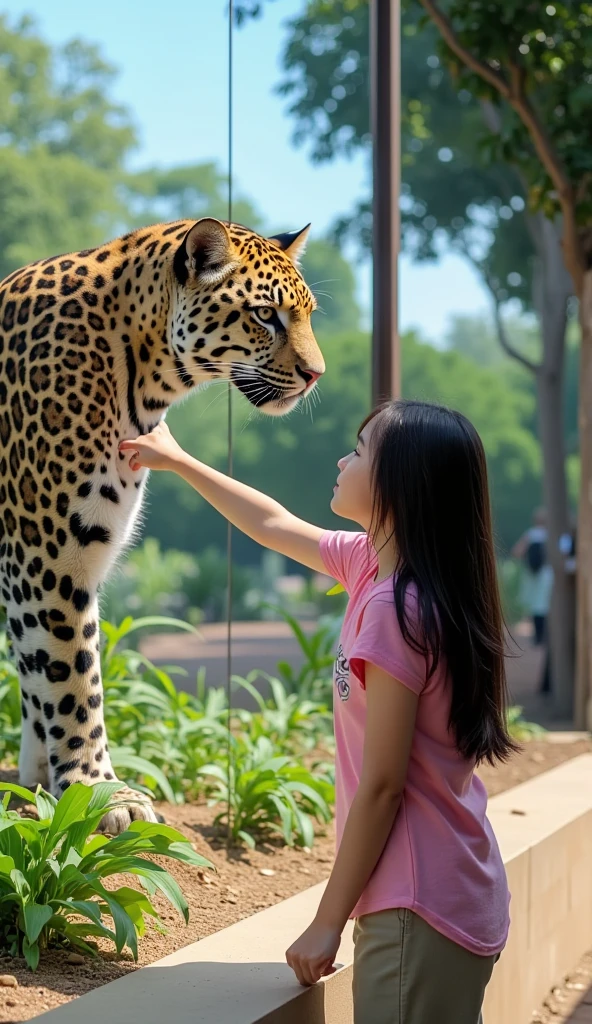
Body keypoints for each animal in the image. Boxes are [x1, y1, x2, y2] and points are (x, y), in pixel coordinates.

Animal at [0, 216, 323, 831]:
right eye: (265, 314)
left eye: (309, 312)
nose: (315, 374)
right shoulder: (48, 552)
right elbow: (73, 677)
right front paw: (98, 792)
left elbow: (34, 672)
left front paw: (40, 781)